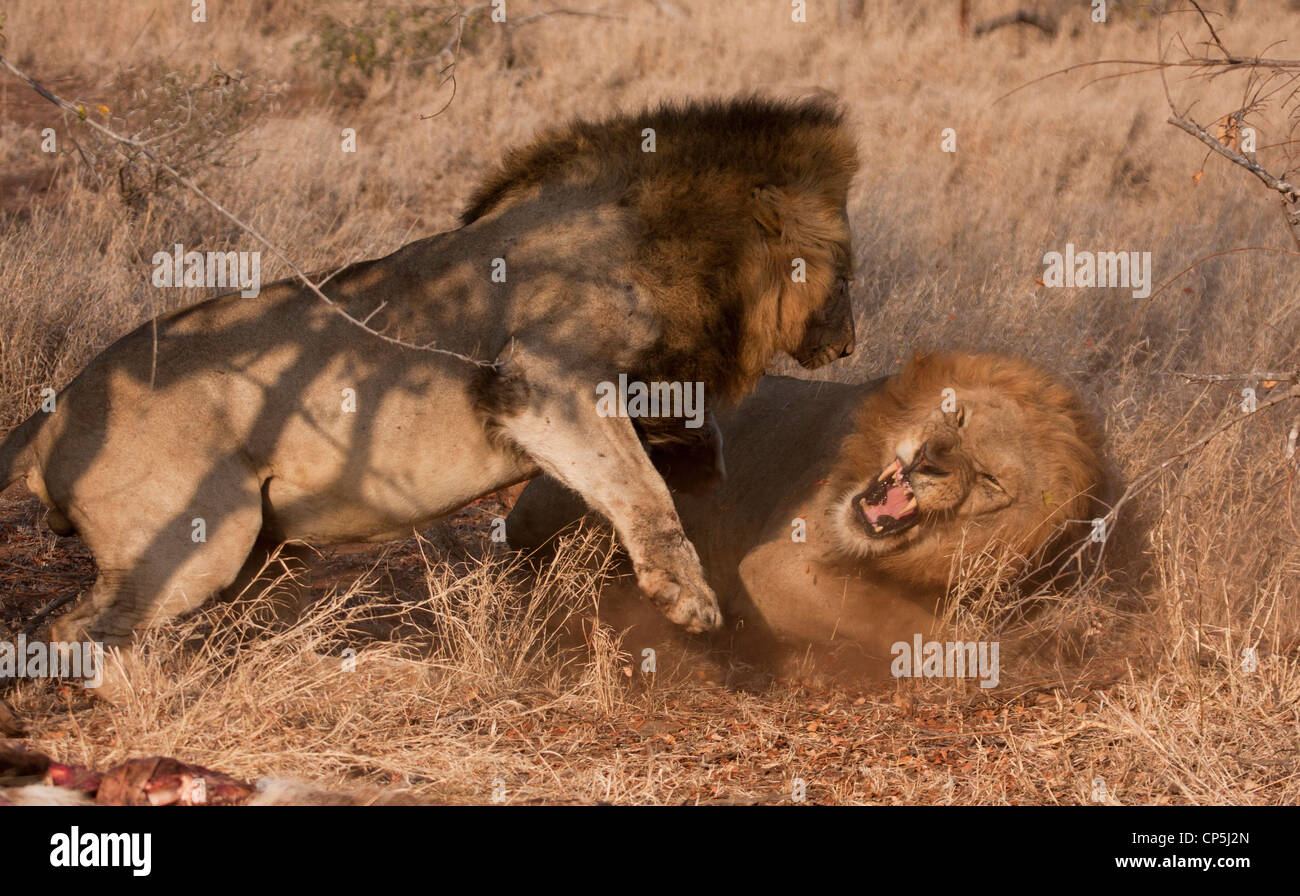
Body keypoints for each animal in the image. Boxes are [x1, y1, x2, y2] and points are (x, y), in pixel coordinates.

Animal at [2, 94, 863, 647]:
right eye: (847, 269)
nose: (852, 342)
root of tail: (57, 406)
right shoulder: (543, 379)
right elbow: (640, 489)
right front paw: (687, 598)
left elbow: (670, 451)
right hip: (195, 538)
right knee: (73, 628)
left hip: (251, 548)